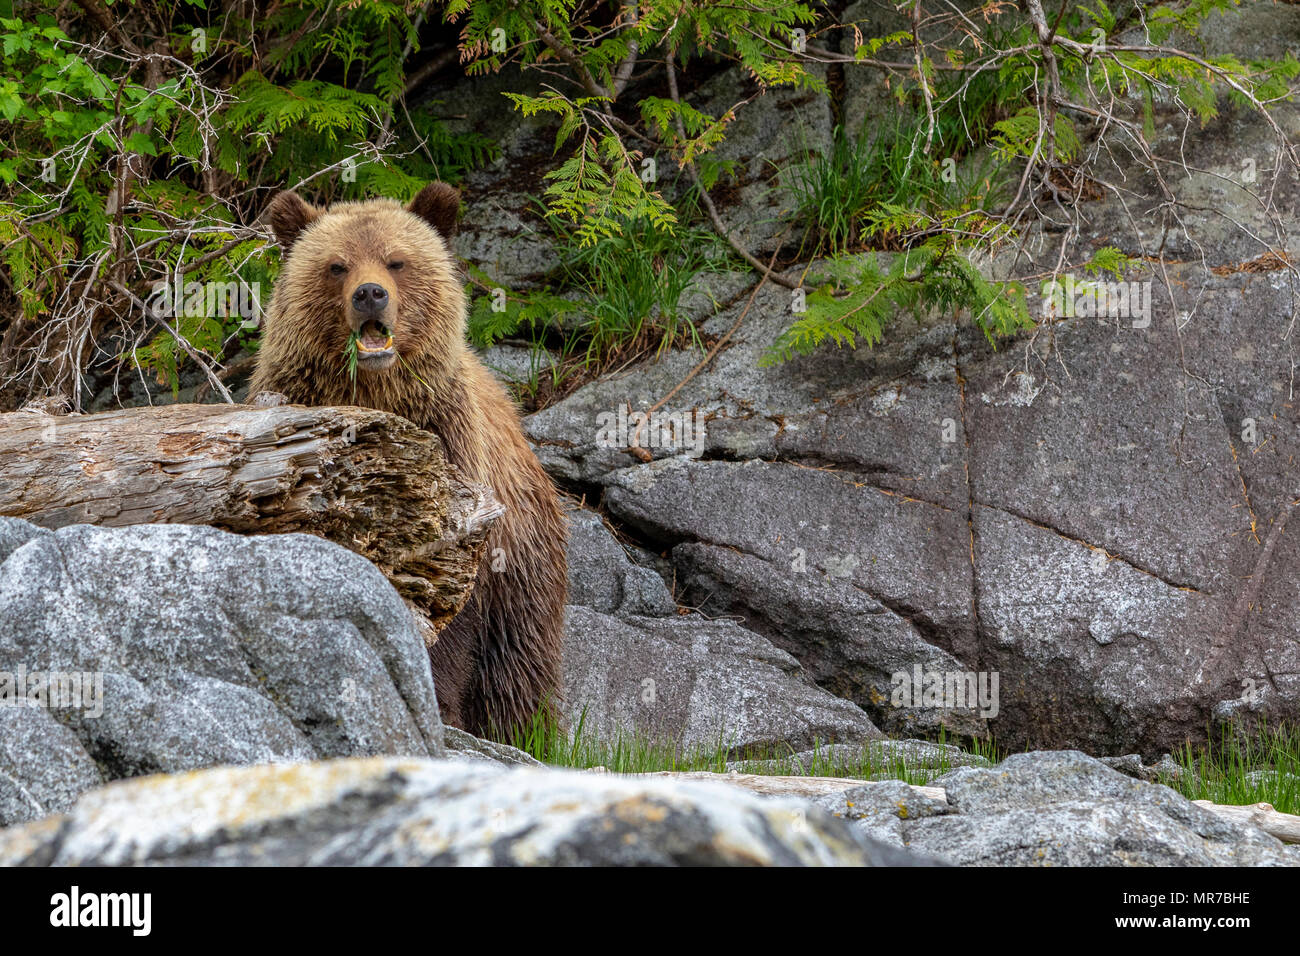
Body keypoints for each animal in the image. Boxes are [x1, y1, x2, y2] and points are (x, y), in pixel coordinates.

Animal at [248, 187, 564, 738]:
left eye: (397, 260)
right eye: (337, 265)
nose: (370, 294)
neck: (375, 394)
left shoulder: (454, 462)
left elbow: (452, 603)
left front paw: (438, 703)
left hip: (525, 556)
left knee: (518, 662)